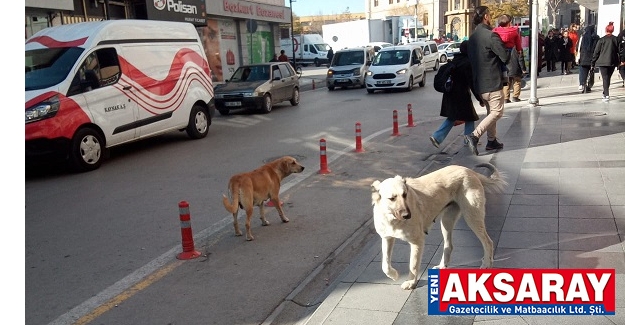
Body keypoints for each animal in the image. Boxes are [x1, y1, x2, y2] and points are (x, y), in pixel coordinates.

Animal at [370, 165, 508, 288]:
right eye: (392, 198)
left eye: (405, 195)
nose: (408, 215)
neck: (392, 219)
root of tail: (469, 171)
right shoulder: (387, 238)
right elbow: (385, 265)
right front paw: (394, 275)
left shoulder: (417, 241)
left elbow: (413, 265)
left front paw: (411, 282)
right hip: (447, 221)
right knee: (449, 246)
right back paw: (443, 266)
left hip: (472, 217)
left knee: (488, 242)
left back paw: (486, 264)